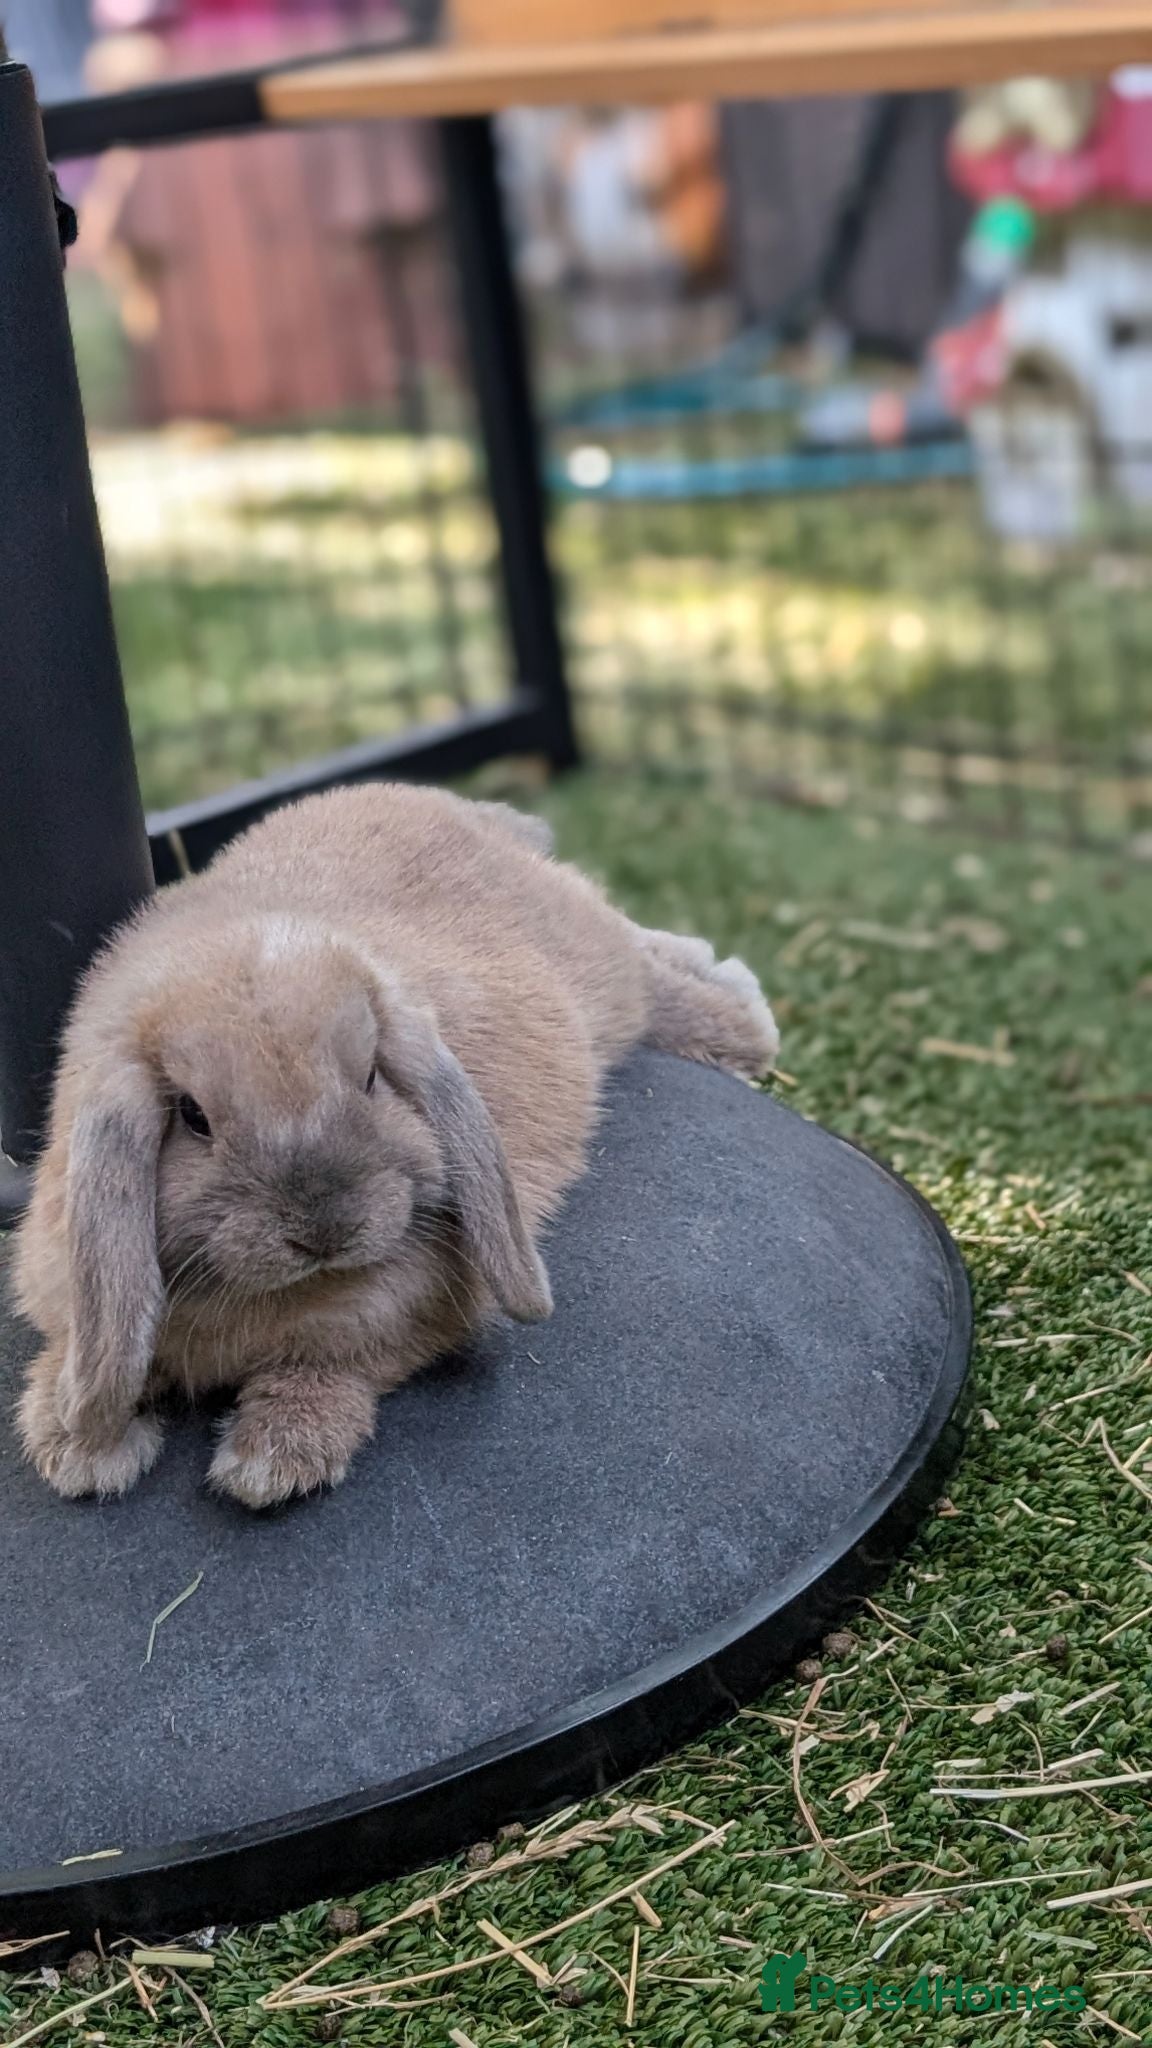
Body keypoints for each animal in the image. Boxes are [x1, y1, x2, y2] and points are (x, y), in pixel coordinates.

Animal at [13, 784, 779, 1508]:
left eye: (372, 1077)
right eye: (193, 1116)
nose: (325, 1230)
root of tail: (460, 809)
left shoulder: (397, 1321)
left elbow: (335, 1369)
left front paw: (271, 1461)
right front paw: (71, 1444)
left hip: (595, 962)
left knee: (647, 971)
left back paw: (746, 1016)